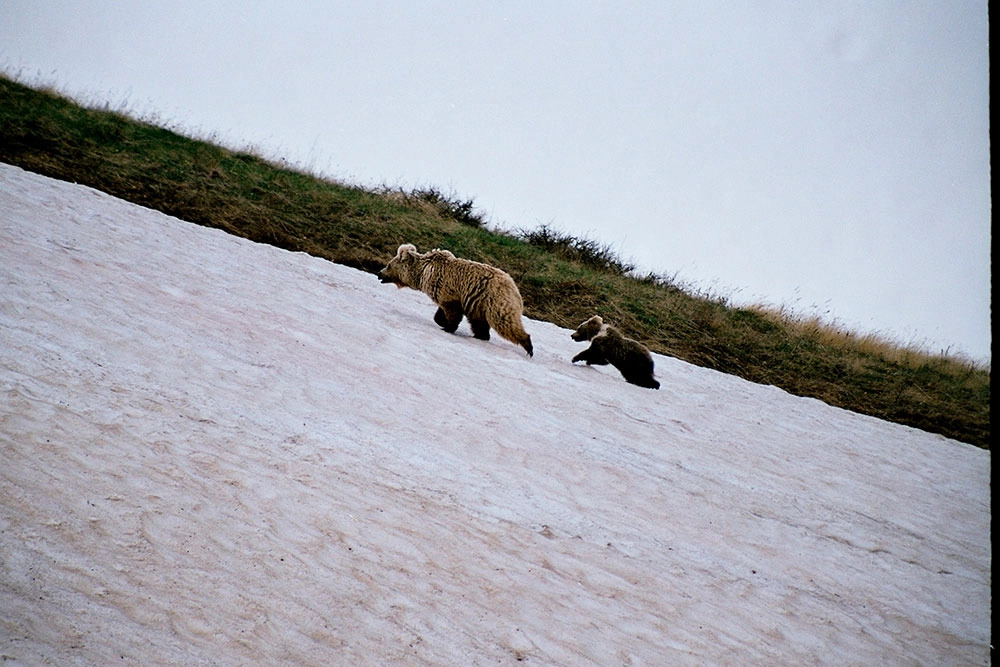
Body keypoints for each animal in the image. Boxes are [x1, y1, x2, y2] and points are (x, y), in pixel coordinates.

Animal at [376, 244, 532, 358]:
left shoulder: (447, 288)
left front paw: (448, 327)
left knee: (504, 322)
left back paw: (528, 346)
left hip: (495, 300)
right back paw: (481, 336)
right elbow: (441, 311)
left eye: (389, 265)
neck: (423, 273)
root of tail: (515, 289)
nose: (379, 273)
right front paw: (442, 322)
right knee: (479, 323)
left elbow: (452, 312)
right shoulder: (444, 293)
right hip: (479, 304)